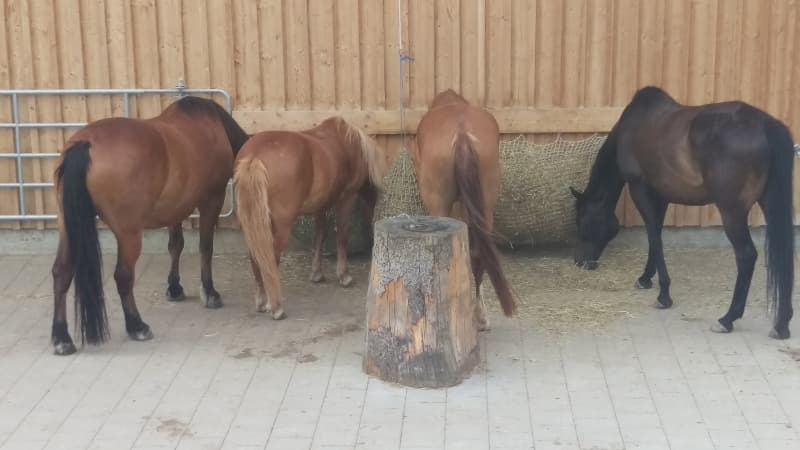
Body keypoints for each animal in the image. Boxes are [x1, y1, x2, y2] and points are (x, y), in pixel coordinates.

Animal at [51, 96, 250, 355]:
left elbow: (176, 245)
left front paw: (174, 288)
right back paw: (137, 326)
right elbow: (206, 247)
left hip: (67, 228)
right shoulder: (211, 200)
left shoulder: (176, 207)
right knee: (123, 276)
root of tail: (85, 145)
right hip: (129, 234)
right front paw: (209, 292)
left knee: (61, 272)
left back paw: (61, 337)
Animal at [233, 116, 390, 320]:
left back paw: (261, 301)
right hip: (281, 225)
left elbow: (320, 236)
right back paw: (276, 307)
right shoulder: (346, 198)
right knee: (271, 259)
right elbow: (342, 236)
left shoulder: (320, 206)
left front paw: (317, 273)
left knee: (256, 257)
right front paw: (344, 276)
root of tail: (254, 156)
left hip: (253, 224)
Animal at [570, 85, 794, 339]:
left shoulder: (640, 188)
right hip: (768, 203)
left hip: (732, 212)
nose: (580, 262)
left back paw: (727, 319)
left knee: (746, 255)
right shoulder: (662, 196)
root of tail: (764, 125)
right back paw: (781, 323)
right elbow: (655, 235)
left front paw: (663, 295)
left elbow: (654, 237)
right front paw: (646, 279)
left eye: (581, 220)